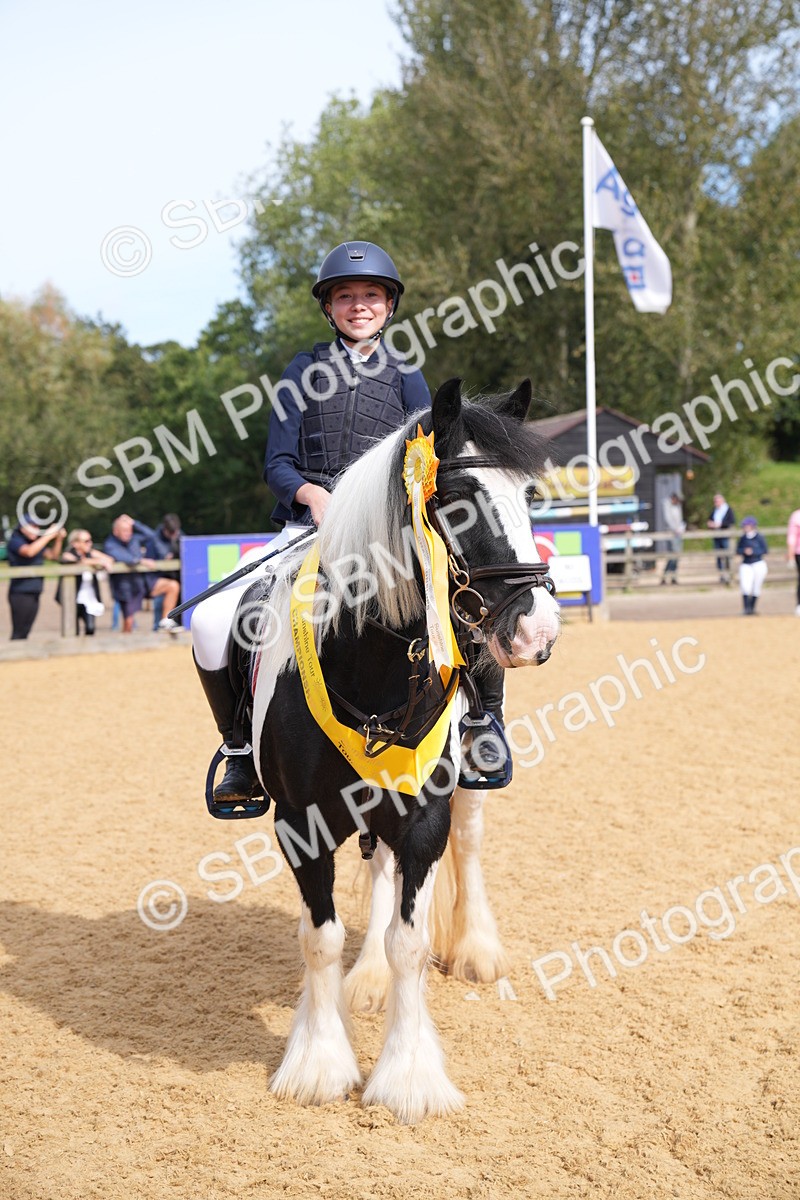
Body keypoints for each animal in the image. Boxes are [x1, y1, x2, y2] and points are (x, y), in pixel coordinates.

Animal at [248, 377, 561, 1123]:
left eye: (531, 495)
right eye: (457, 500)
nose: (538, 631)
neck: (370, 667)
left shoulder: (424, 816)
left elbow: (411, 942)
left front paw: (409, 1076)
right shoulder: (299, 824)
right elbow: (322, 937)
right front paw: (318, 1061)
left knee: (468, 846)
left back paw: (476, 949)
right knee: (379, 874)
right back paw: (366, 980)